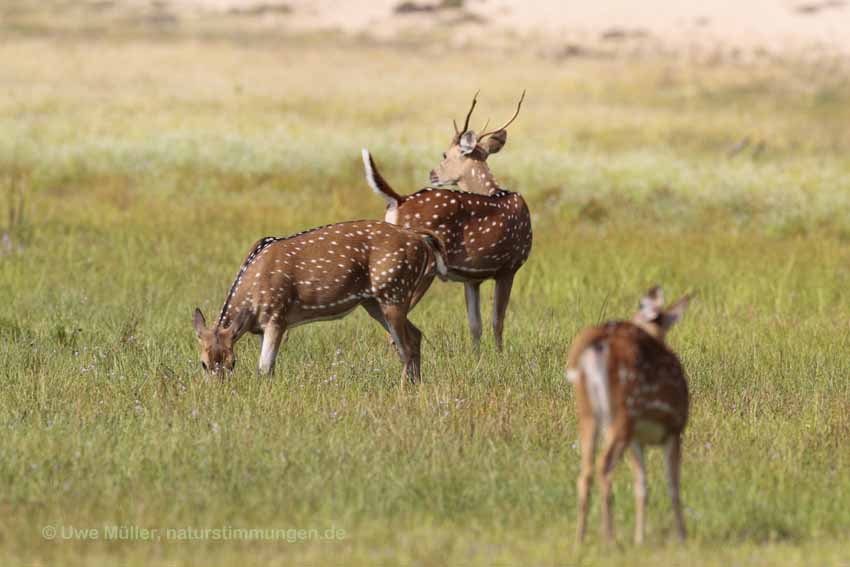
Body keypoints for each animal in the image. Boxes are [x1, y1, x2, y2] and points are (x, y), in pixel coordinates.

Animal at [190, 220, 444, 384]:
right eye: (203, 363)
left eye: (233, 362)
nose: (219, 389)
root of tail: (422, 241)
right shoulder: (263, 326)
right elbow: (268, 366)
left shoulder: (277, 315)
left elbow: (265, 367)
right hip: (375, 302)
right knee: (415, 336)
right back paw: (416, 386)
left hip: (395, 291)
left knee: (406, 346)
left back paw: (403, 392)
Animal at [358, 91, 528, 352]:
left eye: (445, 155)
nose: (433, 173)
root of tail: (398, 200)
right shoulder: (509, 266)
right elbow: (498, 322)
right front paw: (500, 357)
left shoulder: (473, 278)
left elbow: (476, 325)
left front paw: (478, 358)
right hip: (416, 271)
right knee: (393, 330)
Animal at [564, 288, 688, 544]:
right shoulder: (674, 429)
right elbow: (673, 486)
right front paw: (682, 537)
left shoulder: (637, 440)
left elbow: (642, 486)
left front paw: (640, 538)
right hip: (623, 413)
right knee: (603, 465)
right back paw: (609, 538)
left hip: (589, 413)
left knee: (585, 471)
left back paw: (580, 539)